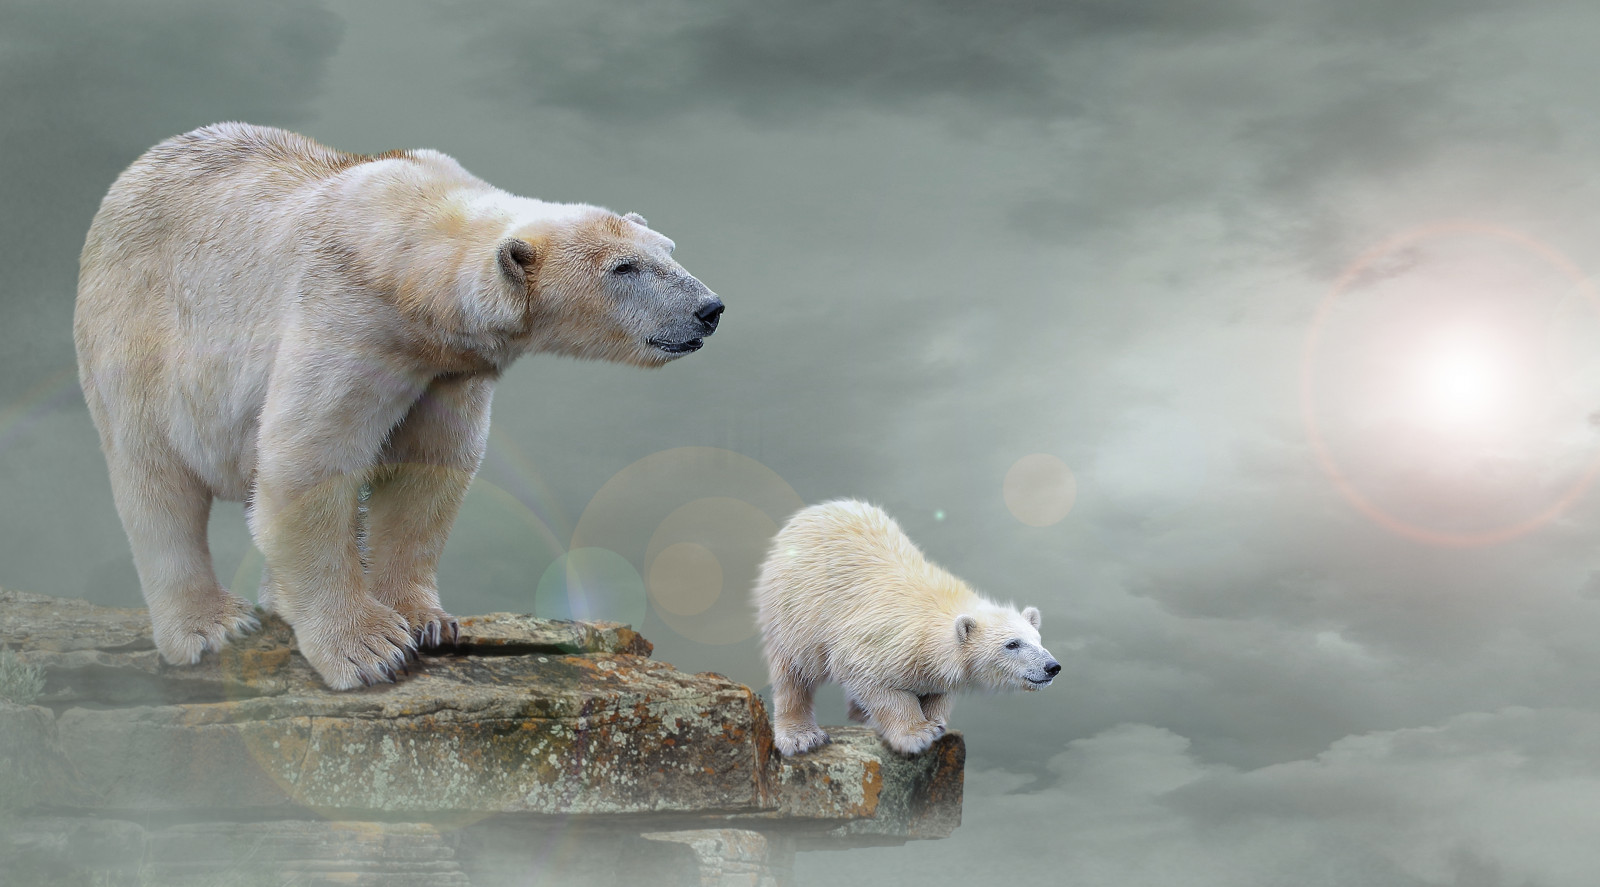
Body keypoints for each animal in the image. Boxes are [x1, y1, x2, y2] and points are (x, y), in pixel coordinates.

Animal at [74, 123, 724, 691]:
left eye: (668, 249)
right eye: (624, 268)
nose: (710, 309)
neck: (411, 253)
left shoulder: (448, 369)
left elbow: (427, 472)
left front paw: (426, 621)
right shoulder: (350, 320)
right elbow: (308, 463)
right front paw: (368, 651)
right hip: (137, 332)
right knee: (155, 480)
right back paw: (210, 624)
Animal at [753, 499, 1060, 756]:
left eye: (1038, 638)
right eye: (1012, 644)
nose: (1052, 667)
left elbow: (938, 691)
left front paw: (935, 721)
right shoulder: (876, 639)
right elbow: (878, 685)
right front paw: (917, 734)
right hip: (796, 607)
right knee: (794, 671)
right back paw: (802, 736)